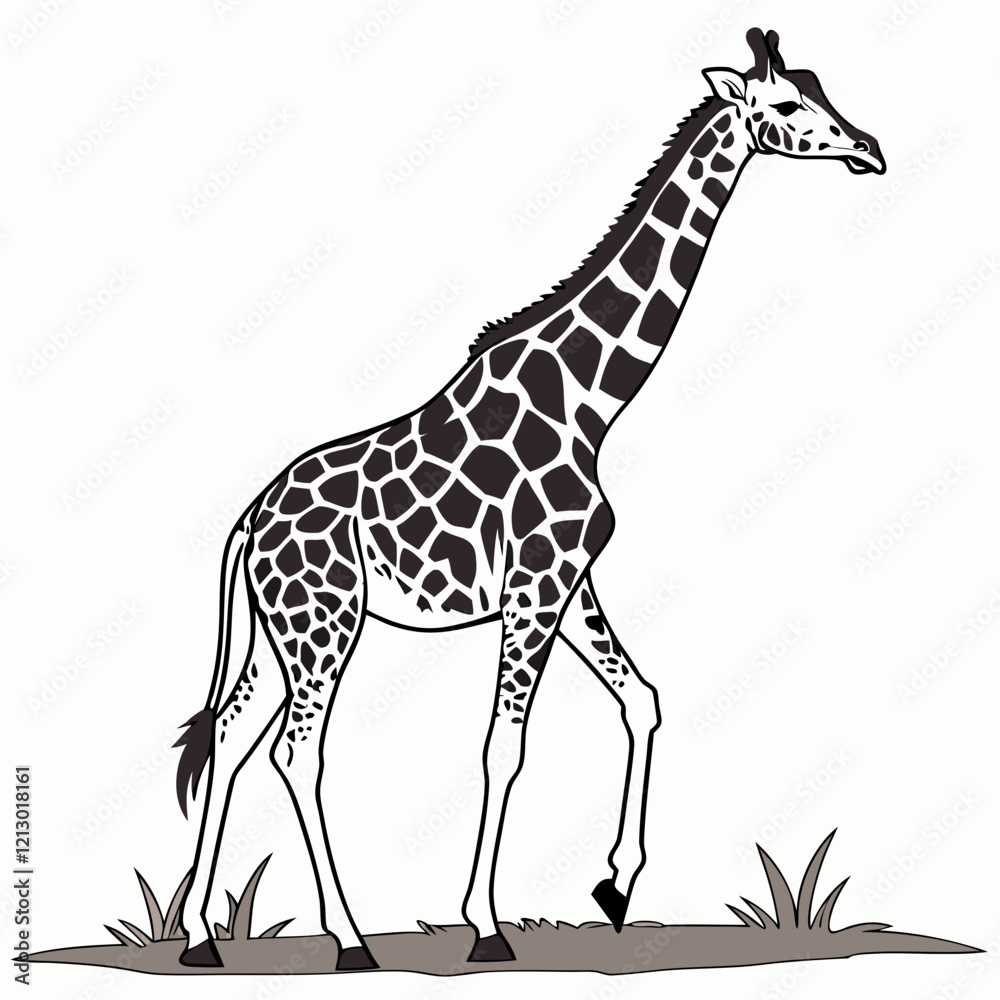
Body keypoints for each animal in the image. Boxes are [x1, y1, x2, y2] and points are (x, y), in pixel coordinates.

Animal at [173, 27, 884, 969]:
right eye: (787, 105)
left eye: (821, 88)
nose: (870, 149)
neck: (593, 401)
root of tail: (249, 521)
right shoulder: (534, 587)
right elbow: (503, 747)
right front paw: (485, 925)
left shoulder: (568, 582)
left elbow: (642, 698)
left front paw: (616, 885)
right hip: (324, 620)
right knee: (297, 753)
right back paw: (350, 938)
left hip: (275, 629)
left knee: (228, 738)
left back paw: (199, 937)